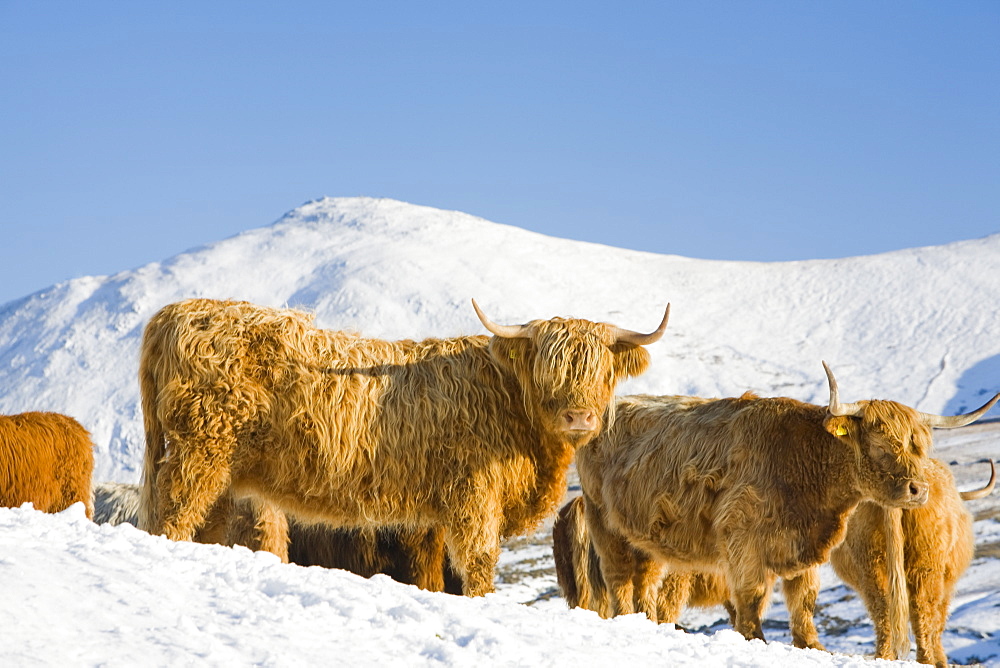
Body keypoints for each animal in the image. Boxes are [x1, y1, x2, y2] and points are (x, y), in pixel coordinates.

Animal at [135, 298, 664, 596]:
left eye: (601, 369)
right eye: (548, 367)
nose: (579, 417)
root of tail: (178, 311)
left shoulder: (433, 516)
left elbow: (432, 573)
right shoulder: (473, 494)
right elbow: (478, 560)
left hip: (219, 471)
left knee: (203, 525)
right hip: (197, 454)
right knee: (172, 517)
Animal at [572, 366, 1000, 652]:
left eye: (919, 446)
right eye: (881, 444)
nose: (918, 489)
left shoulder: (805, 547)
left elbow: (804, 601)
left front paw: (811, 646)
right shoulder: (742, 540)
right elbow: (752, 599)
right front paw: (756, 642)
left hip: (644, 536)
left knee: (644, 581)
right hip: (603, 521)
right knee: (619, 579)